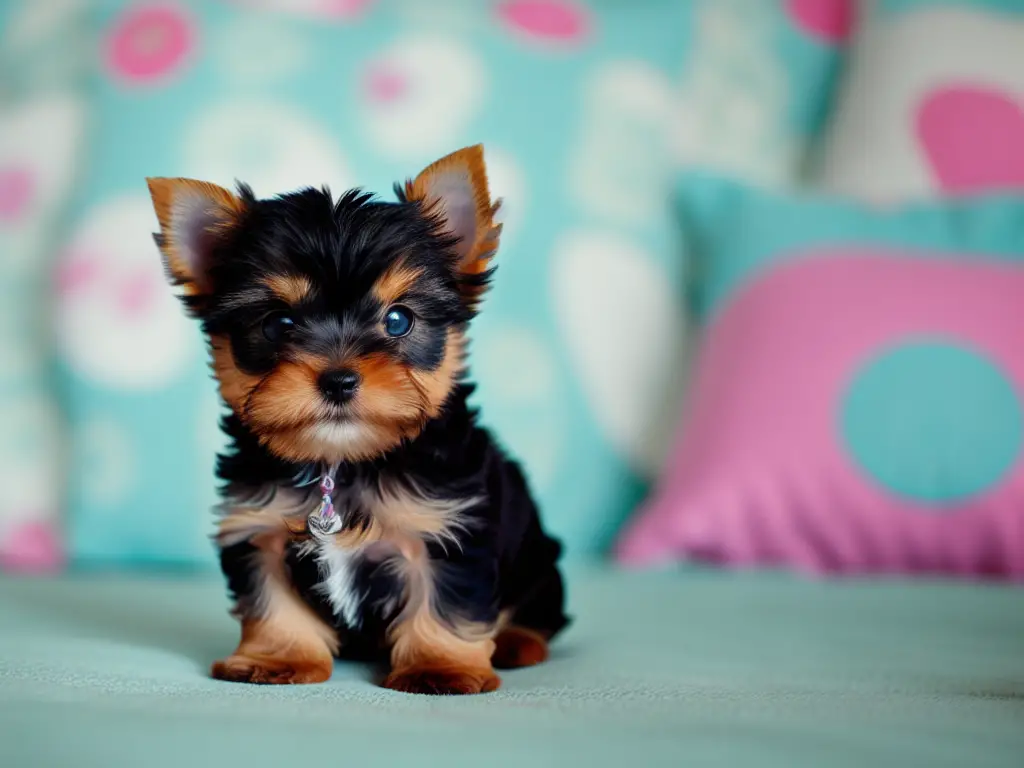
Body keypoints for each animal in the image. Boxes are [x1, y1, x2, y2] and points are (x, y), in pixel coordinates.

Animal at [149, 145, 573, 696]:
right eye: (277, 323)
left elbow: (448, 603)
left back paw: (517, 642)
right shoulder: (259, 529)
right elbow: (271, 600)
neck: (343, 458)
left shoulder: (450, 527)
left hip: (538, 562)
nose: (338, 380)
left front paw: (440, 668)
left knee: (540, 609)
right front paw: (277, 658)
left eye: (398, 320)